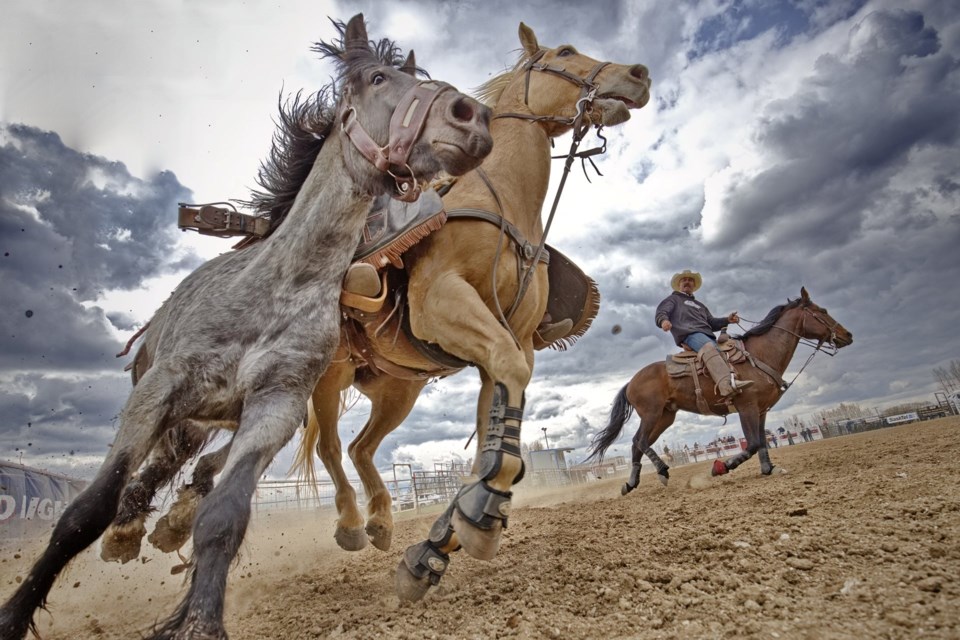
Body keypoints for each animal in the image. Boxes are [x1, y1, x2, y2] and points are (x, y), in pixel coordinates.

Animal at [292, 21, 652, 600]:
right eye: (565, 51)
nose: (638, 75)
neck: (500, 200)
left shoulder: (509, 343)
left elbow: (497, 425)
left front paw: (443, 540)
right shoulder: (445, 303)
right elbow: (504, 412)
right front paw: (481, 512)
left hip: (399, 390)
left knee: (361, 449)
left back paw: (383, 522)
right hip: (330, 377)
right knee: (329, 448)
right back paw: (350, 522)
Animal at [584, 286, 856, 496]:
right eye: (822, 311)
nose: (848, 334)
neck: (759, 355)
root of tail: (631, 381)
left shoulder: (761, 410)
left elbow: (762, 442)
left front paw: (768, 469)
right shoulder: (747, 407)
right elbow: (753, 443)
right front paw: (721, 467)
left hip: (665, 416)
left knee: (636, 445)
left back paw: (631, 484)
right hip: (651, 414)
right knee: (638, 440)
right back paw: (661, 471)